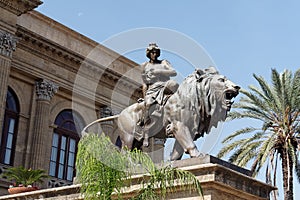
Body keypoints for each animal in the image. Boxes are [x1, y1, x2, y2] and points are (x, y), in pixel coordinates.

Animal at [81, 67, 239, 161]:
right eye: (221, 80)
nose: (237, 87)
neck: (194, 99)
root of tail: (119, 115)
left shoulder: (188, 128)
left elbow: (177, 150)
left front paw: (172, 162)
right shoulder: (179, 126)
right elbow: (188, 143)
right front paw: (198, 155)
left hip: (137, 140)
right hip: (128, 136)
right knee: (125, 153)